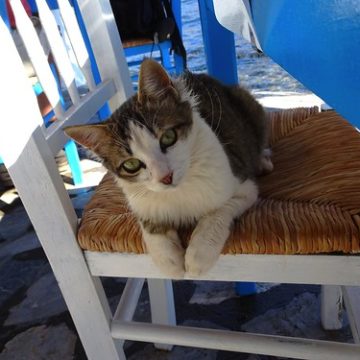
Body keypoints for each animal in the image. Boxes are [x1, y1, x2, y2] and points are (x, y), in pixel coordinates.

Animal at [65, 59, 272, 278]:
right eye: (131, 164)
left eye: (168, 137)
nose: (165, 177)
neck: (178, 191)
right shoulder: (139, 199)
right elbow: (148, 221)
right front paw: (168, 258)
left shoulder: (242, 184)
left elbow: (219, 210)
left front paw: (200, 252)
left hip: (249, 105)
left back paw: (262, 160)